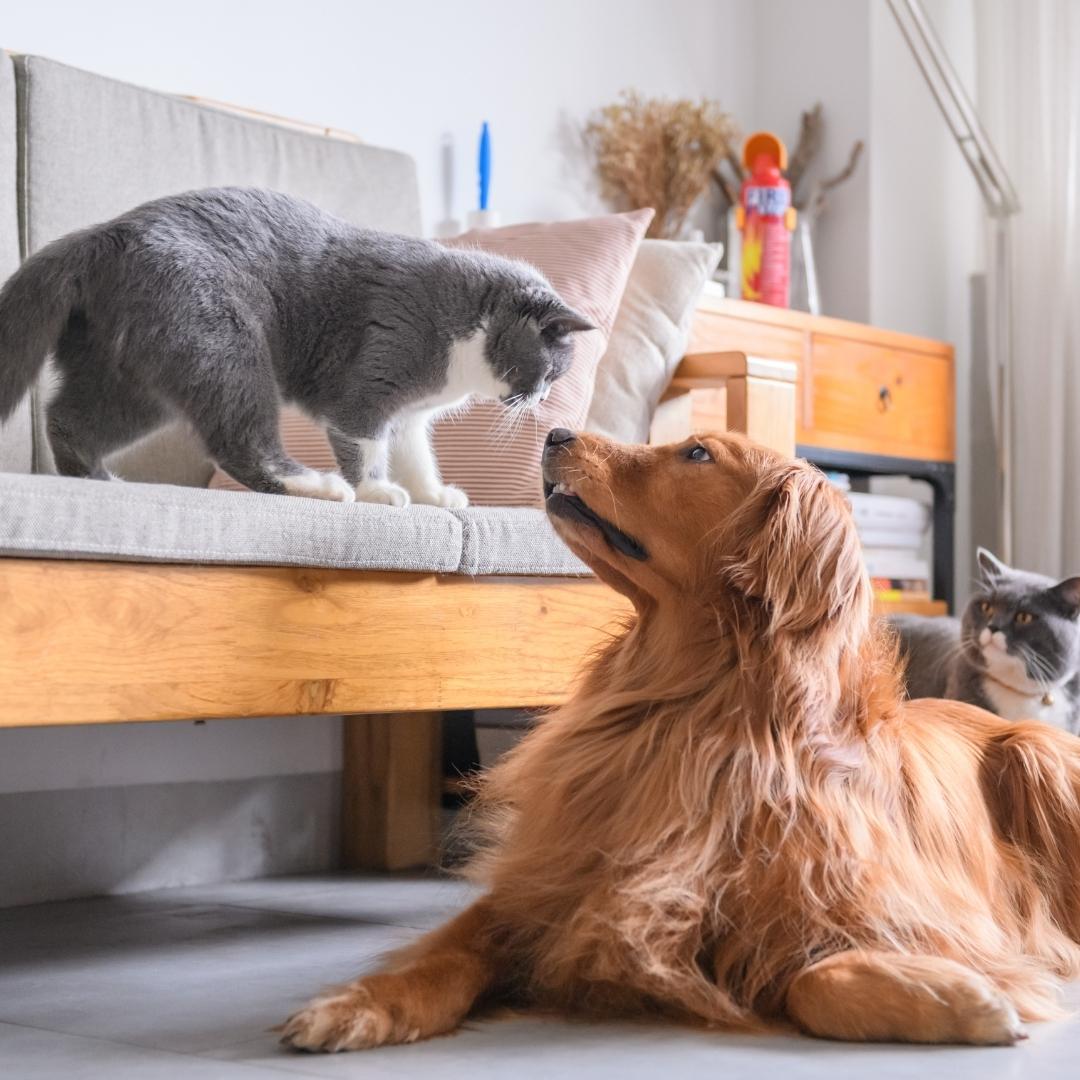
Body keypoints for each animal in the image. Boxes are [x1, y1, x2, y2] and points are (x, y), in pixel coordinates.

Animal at [0, 186, 591, 505]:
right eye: (550, 370)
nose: (542, 397)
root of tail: (101, 235)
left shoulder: (409, 415)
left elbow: (415, 454)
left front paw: (432, 494)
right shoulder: (374, 381)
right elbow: (365, 443)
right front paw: (377, 492)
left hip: (129, 374)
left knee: (67, 417)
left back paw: (99, 479)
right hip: (225, 343)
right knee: (240, 440)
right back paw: (319, 486)